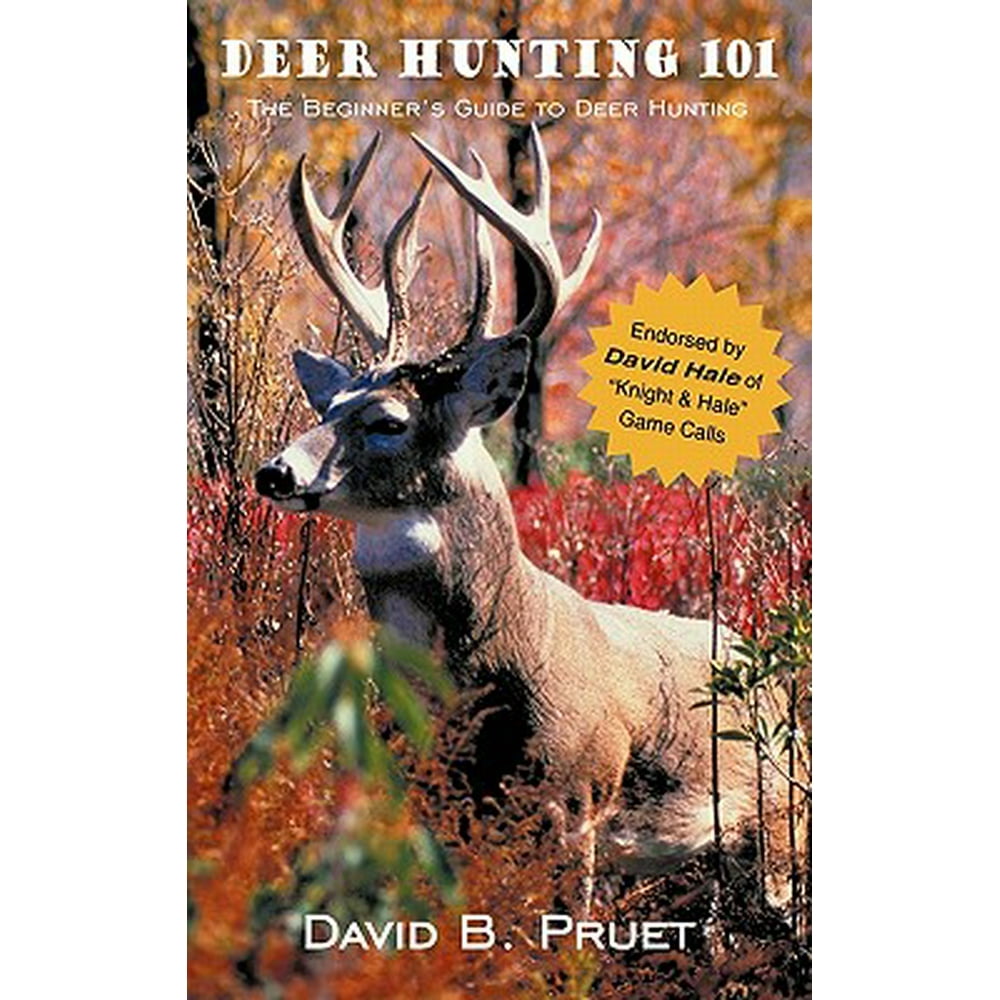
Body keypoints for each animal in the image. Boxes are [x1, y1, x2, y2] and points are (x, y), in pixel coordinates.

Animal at [255, 125, 792, 916]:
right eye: (327, 408)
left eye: (386, 421)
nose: (275, 472)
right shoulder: (435, 802)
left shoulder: (576, 796)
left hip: (782, 814)